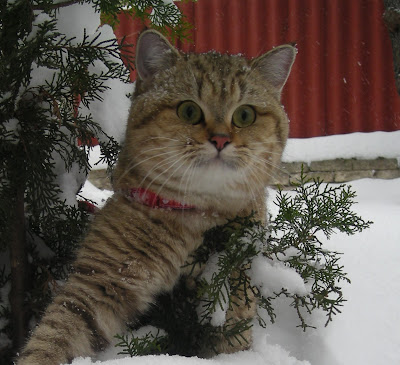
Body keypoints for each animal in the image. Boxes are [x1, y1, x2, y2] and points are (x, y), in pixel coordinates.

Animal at [16, 29, 294, 364]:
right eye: (189, 111)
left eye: (244, 115)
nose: (220, 139)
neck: (197, 216)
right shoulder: (97, 283)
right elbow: (53, 335)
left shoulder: (237, 281)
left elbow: (233, 335)